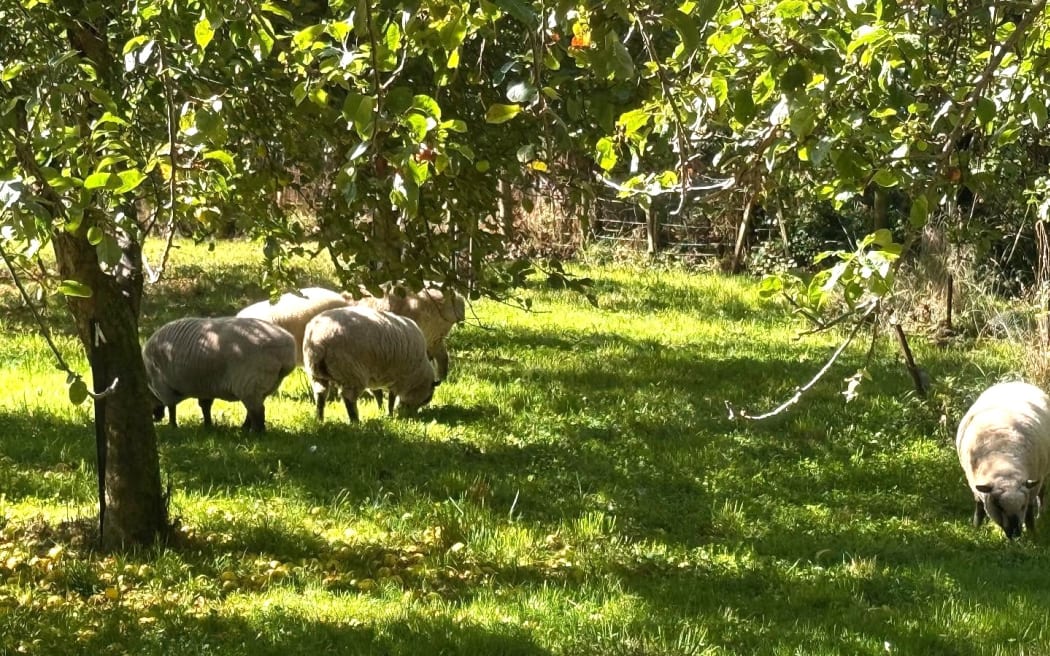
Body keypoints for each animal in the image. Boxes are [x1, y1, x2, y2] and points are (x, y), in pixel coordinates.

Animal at [142, 317, 296, 432]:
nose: (156, 419)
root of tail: (285, 351)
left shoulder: (163, 387)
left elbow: (172, 408)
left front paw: (173, 427)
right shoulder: (204, 387)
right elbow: (205, 407)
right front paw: (208, 426)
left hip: (249, 382)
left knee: (257, 411)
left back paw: (255, 432)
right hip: (263, 384)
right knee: (253, 410)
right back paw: (244, 429)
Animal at [303, 306, 439, 422]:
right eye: (427, 399)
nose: (411, 414)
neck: (418, 372)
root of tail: (319, 340)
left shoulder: (374, 376)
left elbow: (378, 394)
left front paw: (381, 410)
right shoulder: (398, 379)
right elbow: (391, 398)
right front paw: (390, 414)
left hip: (317, 375)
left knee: (320, 396)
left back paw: (320, 419)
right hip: (351, 373)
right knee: (348, 398)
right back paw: (355, 421)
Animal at [956, 380, 1050, 539]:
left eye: (1022, 506)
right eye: (999, 506)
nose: (1015, 534)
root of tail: (1015, 381)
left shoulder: (1032, 488)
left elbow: (1029, 514)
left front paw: (1033, 533)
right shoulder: (974, 485)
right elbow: (979, 508)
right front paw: (976, 528)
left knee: (1042, 493)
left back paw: (1041, 514)